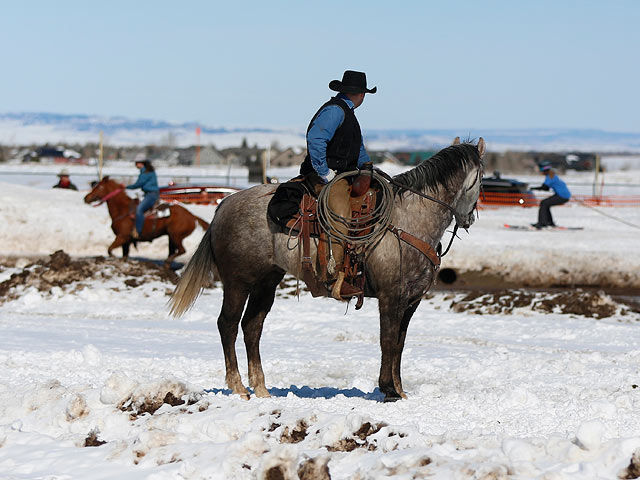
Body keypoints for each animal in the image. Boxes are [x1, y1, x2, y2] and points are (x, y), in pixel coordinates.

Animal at [170, 138, 484, 402]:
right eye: (481, 179)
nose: (468, 219)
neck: (408, 220)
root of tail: (224, 204)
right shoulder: (390, 296)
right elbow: (387, 341)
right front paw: (388, 390)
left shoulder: (411, 301)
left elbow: (399, 344)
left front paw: (400, 390)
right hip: (238, 281)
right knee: (228, 324)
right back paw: (238, 387)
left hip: (266, 282)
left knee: (251, 327)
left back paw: (261, 388)